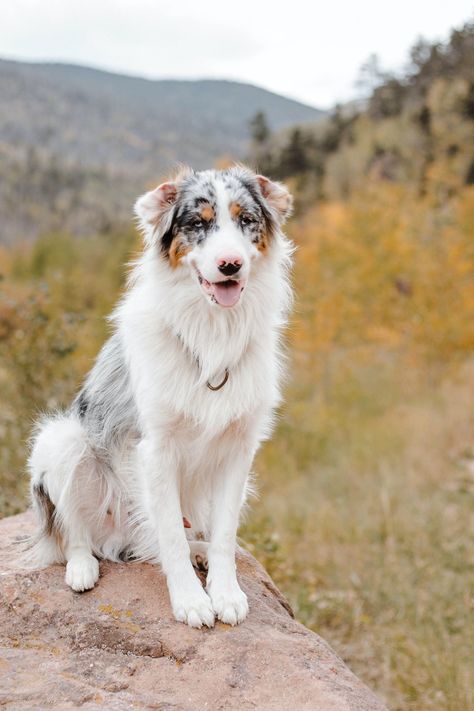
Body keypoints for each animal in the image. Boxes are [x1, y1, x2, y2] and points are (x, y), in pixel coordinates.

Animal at [27, 163, 294, 628]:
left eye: (246, 220)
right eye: (198, 224)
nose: (230, 265)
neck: (210, 334)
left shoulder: (239, 450)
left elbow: (224, 533)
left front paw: (225, 592)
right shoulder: (155, 448)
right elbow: (169, 532)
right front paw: (190, 600)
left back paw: (197, 552)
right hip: (62, 440)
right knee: (75, 533)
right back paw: (82, 567)